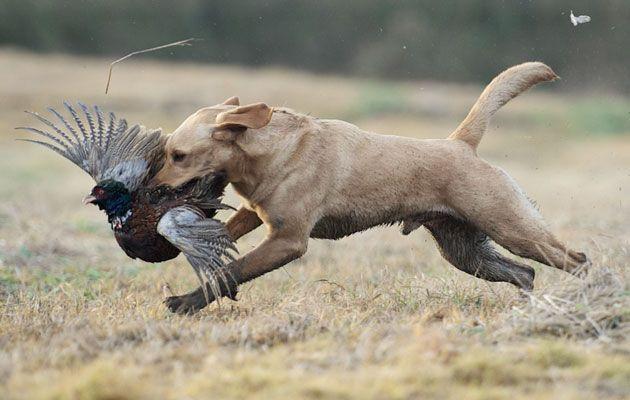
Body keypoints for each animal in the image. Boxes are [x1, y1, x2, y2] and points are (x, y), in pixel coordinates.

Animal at [152, 62, 588, 314]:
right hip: (465, 250)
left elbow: (233, 270)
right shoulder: (255, 215)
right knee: (524, 273)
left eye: (178, 155)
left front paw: (185, 303)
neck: (270, 150)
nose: (152, 191)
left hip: (512, 228)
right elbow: (228, 236)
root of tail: (460, 144)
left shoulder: (288, 241)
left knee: (576, 260)